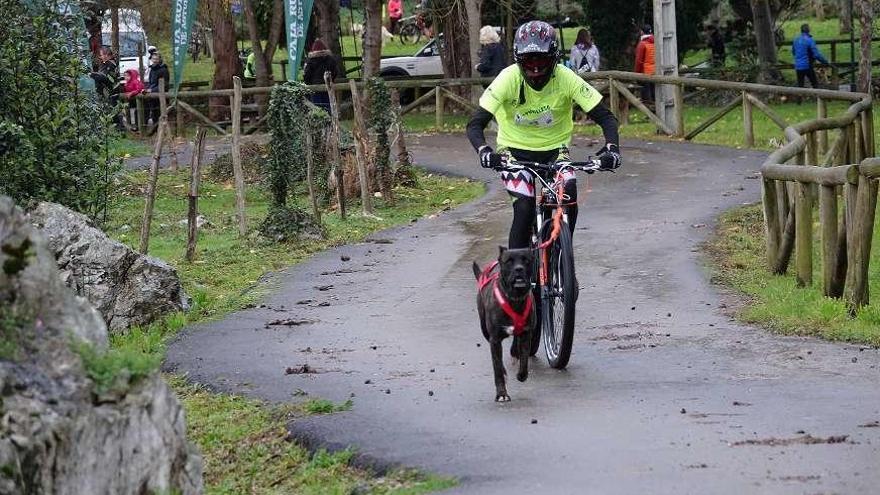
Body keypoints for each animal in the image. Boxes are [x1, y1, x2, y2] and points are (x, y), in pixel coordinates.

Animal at [474, 248, 536, 404]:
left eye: (526, 260)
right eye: (509, 261)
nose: (519, 269)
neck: (514, 298)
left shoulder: (526, 334)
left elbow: (524, 359)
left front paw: (521, 375)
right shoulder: (494, 339)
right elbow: (497, 367)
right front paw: (501, 394)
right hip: (485, 329)